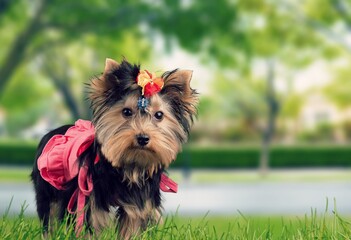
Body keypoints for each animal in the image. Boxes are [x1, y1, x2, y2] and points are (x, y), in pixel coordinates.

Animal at [31, 57, 198, 238]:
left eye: (159, 115)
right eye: (126, 112)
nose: (143, 137)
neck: (129, 167)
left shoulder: (138, 204)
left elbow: (131, 225)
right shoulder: (90, 199)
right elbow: (89, 225)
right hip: (48, 189)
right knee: (50, 215)